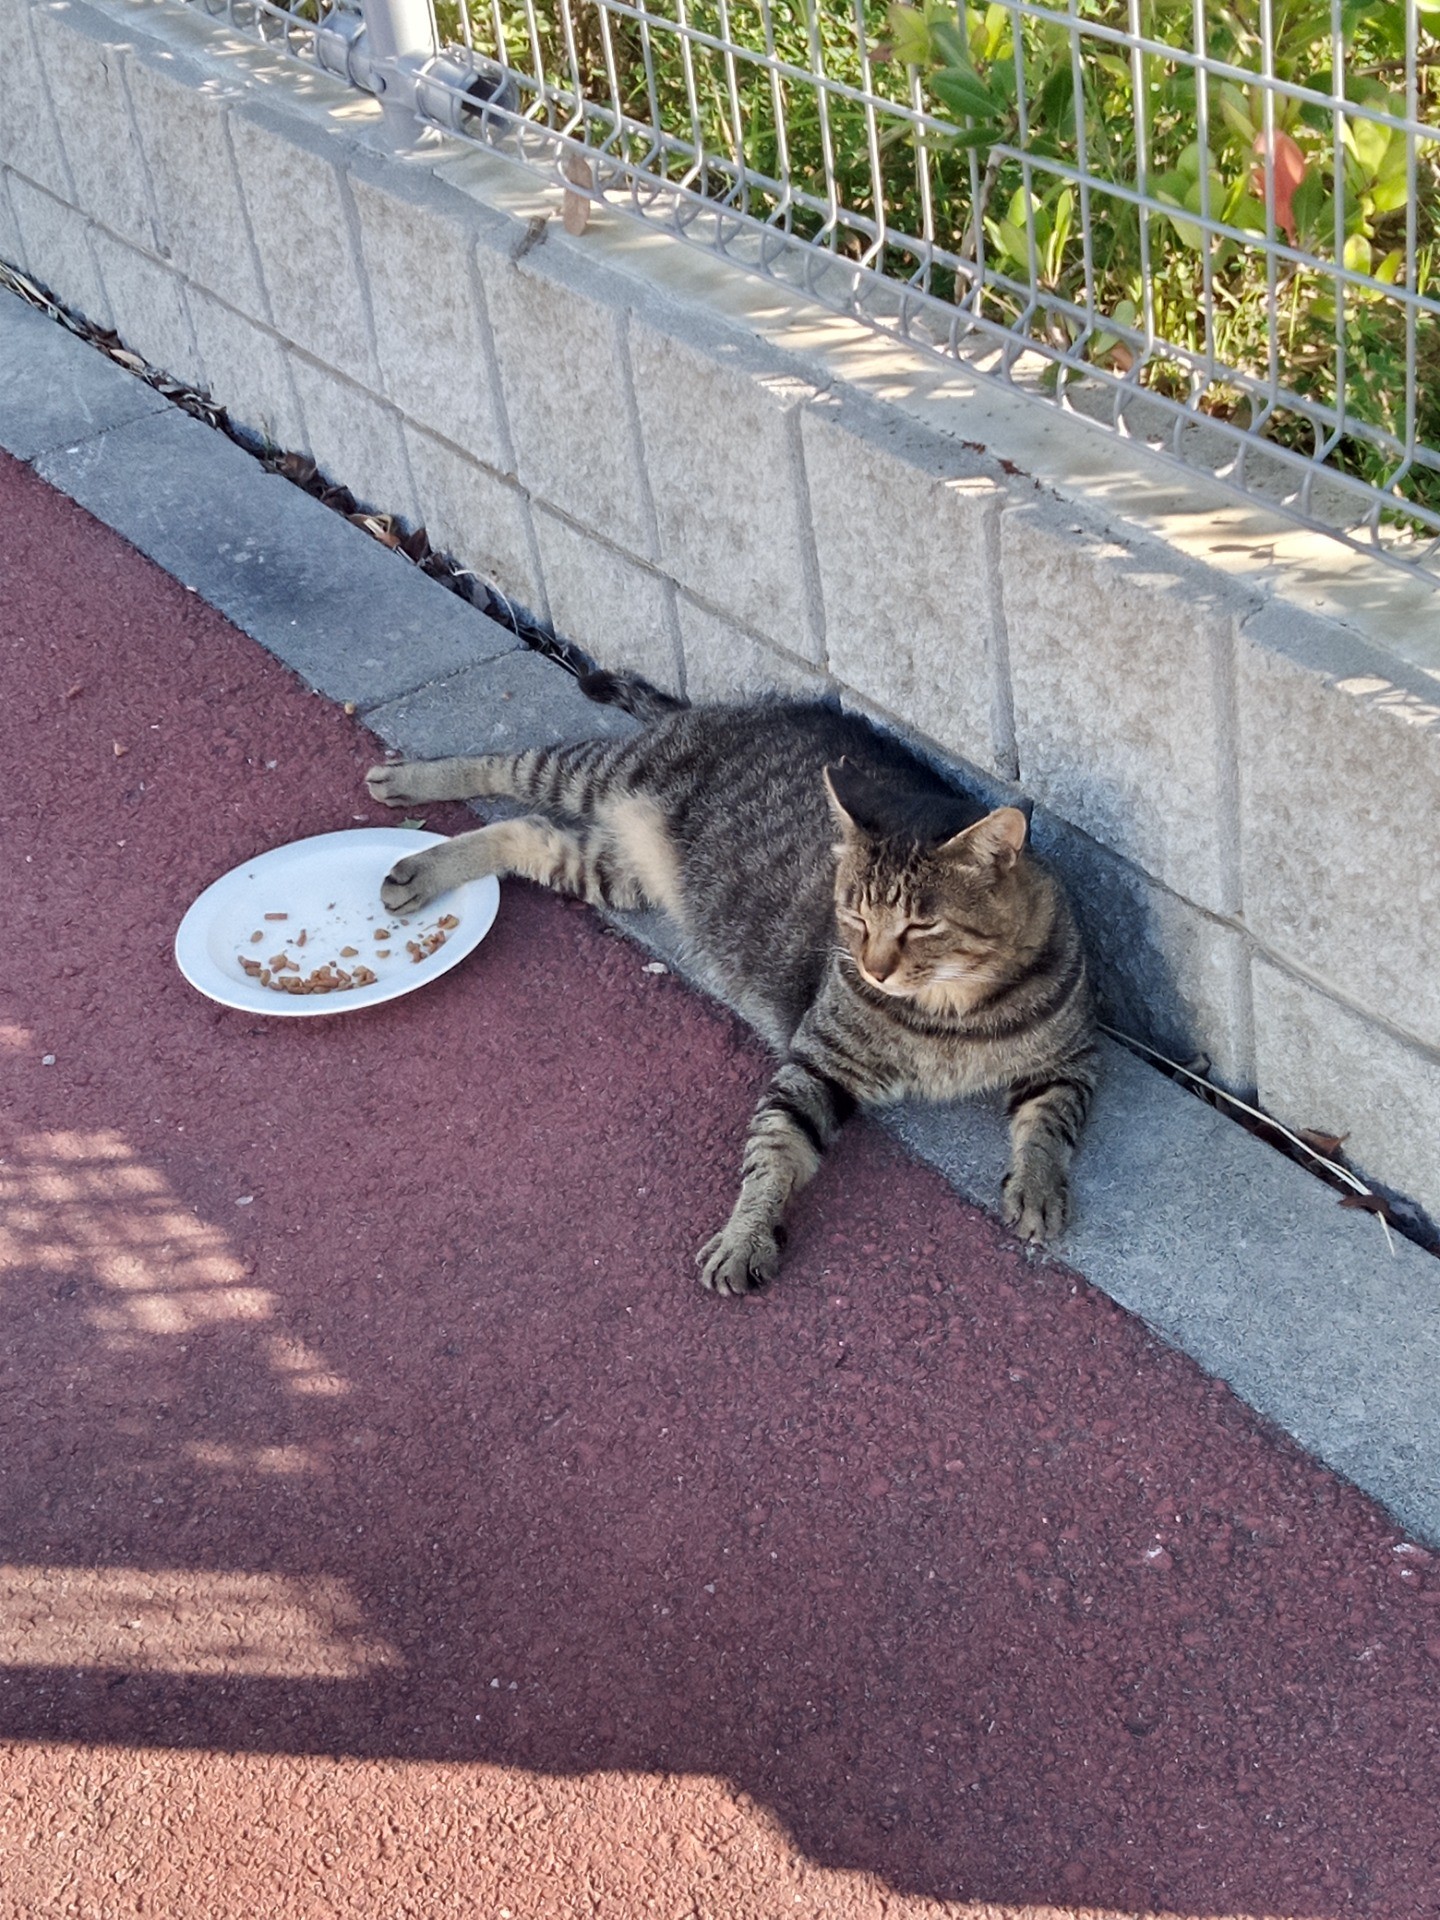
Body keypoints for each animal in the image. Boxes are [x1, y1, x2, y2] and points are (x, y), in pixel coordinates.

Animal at [366, 675, 1098, 1290]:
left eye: (921, 925)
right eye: (855, 914)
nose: (872, 967)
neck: (947, 1010)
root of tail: (732, 707)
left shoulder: (1074, 1061)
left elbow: (1048, 1125)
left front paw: (1037, 1187)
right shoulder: (816, 1066)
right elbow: (772, 1148)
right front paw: (745, 1235)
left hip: (612, 869)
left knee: (527, 830)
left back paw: (420, 867)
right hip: (601, 771)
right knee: (513, 764)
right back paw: (409, 790)